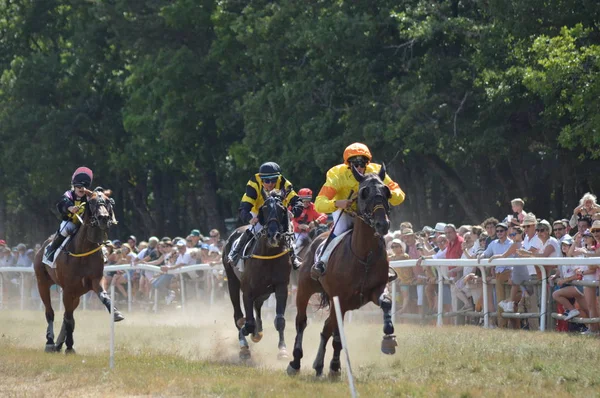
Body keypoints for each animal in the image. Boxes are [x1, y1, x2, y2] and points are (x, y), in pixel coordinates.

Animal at [33, 188, 122, 352]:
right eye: (92, 201)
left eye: (107, 201)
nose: (103, 218)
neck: (83, 250)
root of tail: (42, 247)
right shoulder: (68, 289)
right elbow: (68, 318)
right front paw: (69, 345)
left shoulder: (94, 280)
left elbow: (103, 296)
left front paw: (116, 313)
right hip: (42, 283)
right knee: (50, 312)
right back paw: (50, 341)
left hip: (77, 295)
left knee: (66, 315)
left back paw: (59, 343)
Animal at [223, 190, 292, 360]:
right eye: (265, 209)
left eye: (282, 209)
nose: (273, 235)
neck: (268, 255)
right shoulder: (247, 290)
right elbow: (246, 323)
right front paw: (245, 341)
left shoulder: (281, 287)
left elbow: (280, 320)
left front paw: (282, 350)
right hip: (232, 282)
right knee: (238, 316)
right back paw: (245, 343)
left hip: (264, 292)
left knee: (257, 308)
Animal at [288, 165, 396, 376]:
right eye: (364, 193)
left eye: (386, 191)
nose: (382, 224)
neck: (364, 256)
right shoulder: (341, 300)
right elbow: (338, 335)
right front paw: (335, 365)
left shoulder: (375, 290)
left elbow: (387, 303)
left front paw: (389, 337)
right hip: (305, 289)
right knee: (302, 322)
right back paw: (295, 362)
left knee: (325, 328)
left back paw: (318, 364)